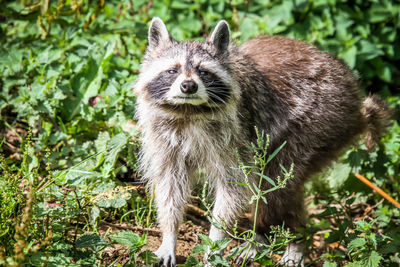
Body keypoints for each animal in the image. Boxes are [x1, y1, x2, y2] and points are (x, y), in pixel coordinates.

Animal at [134, 17, 390, 266]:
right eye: (172, 70)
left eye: (204, 72)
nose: (188, 86)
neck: (189, 111)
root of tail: (356, 105)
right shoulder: (163, 136)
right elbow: (169, 185)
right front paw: (169, 234)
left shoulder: (236, 134)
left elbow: (234, 187)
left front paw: (215, 242)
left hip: (322, 119)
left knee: (275, 184)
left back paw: (290, 237)